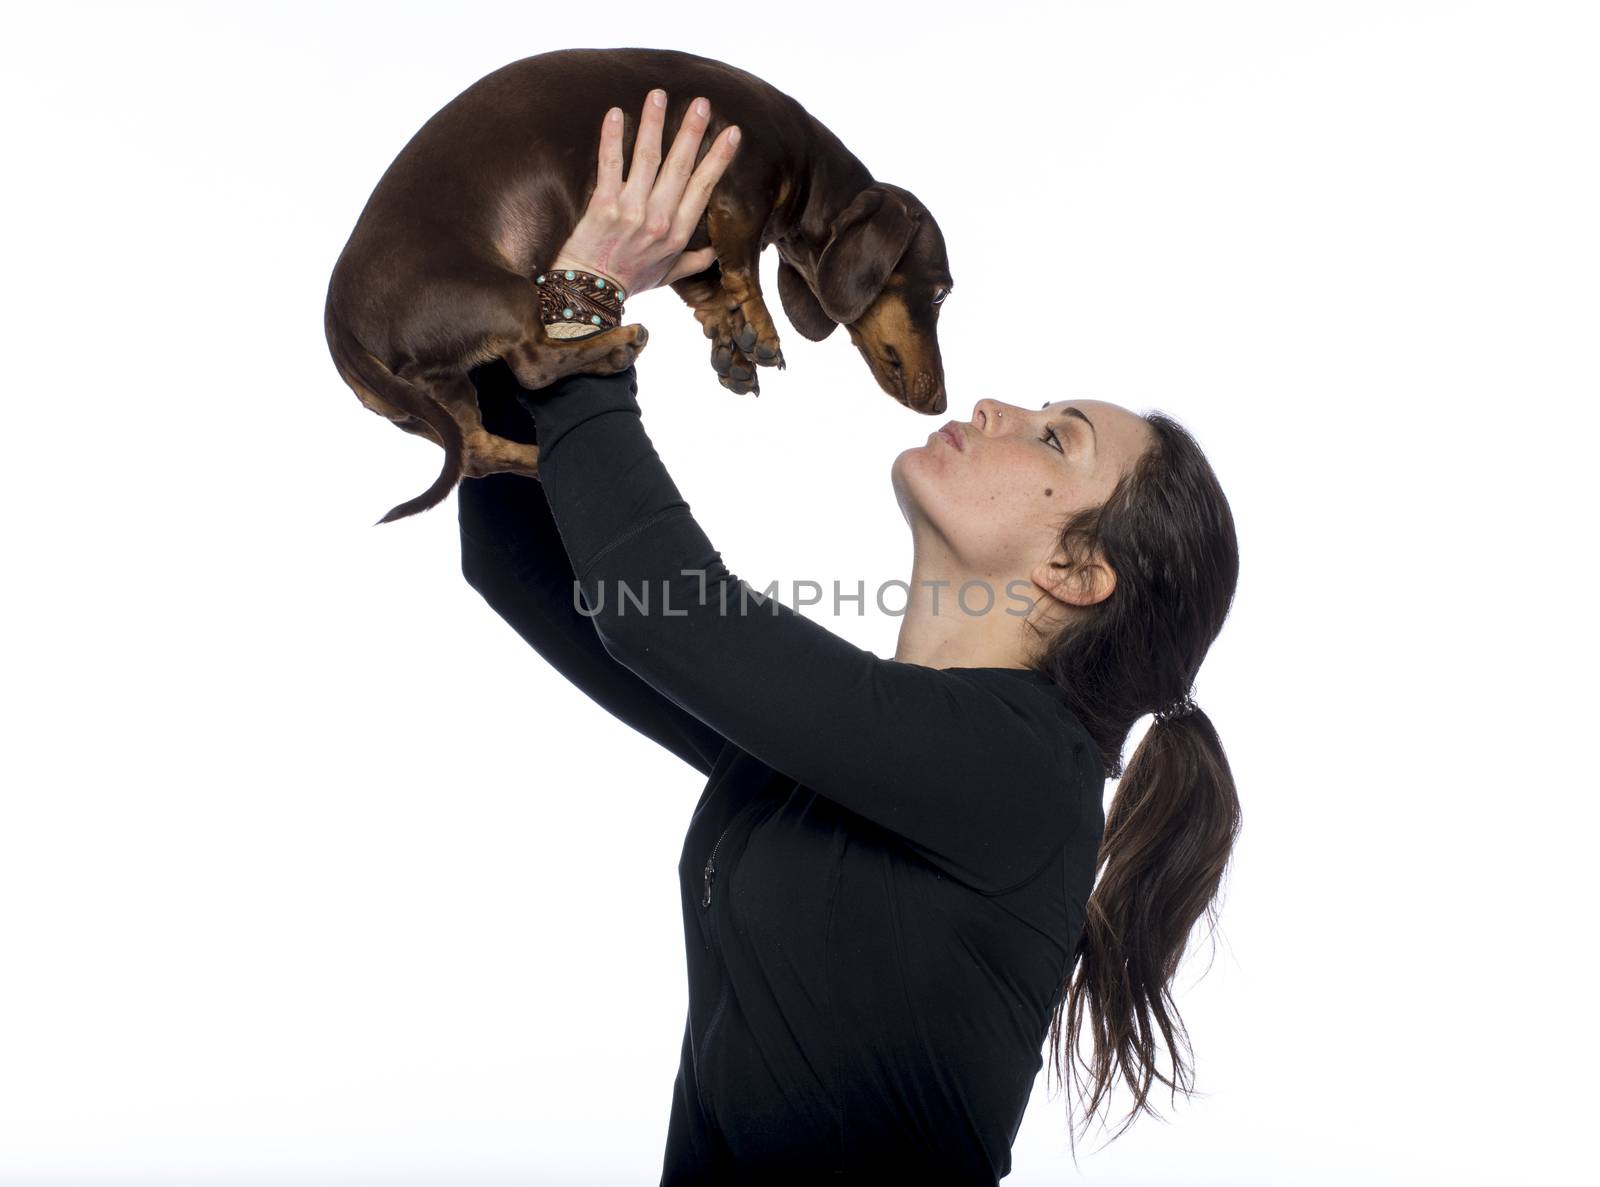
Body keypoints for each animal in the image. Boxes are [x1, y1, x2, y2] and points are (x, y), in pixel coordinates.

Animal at [321, 47, 947, 521]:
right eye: (942, 292)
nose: (941, 404)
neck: (809, 166)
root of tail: (338, 321)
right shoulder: (738, 190)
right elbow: (743, 267)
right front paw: (763, 330)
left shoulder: (692, 245)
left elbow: (708, 291)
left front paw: (731, 343)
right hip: (503, 294)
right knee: (533, 365)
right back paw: (615, 345)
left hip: (441, 390)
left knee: (473, 450)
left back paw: (536, 454)